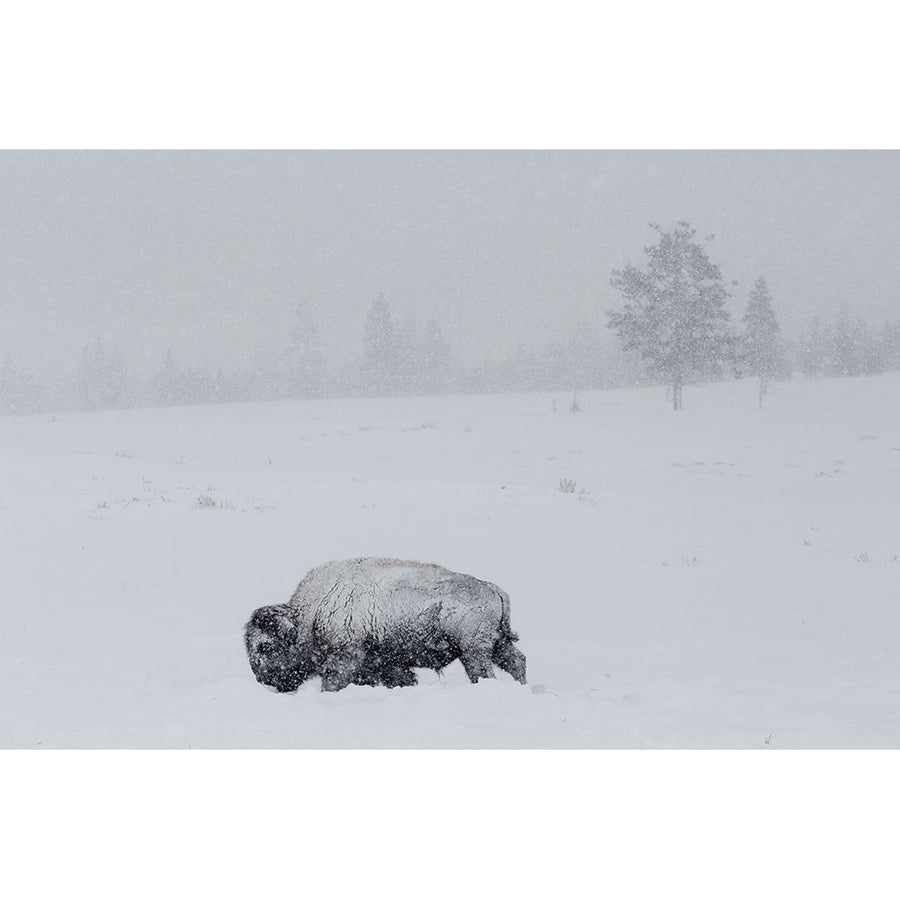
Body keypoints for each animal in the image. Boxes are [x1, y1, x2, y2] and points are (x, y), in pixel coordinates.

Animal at [246, 556, 528, 696]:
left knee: (485, 673)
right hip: (497, 645)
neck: (310, 614)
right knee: (517, 661)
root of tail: (493, 589)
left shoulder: (345, 658)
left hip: (473, 651)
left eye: (266, 646)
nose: (261, 679)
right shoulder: (384, 662)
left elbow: (333, 681)